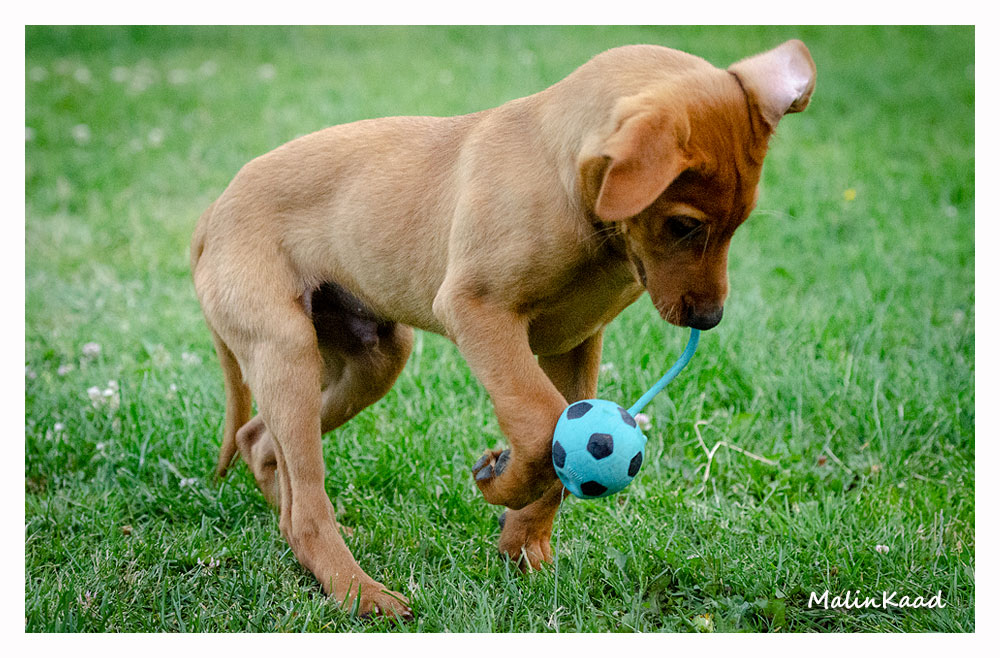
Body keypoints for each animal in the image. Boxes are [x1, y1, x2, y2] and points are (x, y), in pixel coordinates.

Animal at [191, 39, 815, 618]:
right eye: (684, 225)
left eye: (738, 225)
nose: (709, 320)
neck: (572, 194)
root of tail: (212, 212)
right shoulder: (477, 311)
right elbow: (542, 427)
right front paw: (499, 481)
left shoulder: (574, 342)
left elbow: (564, 442)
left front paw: (522, 545)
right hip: (287, 350)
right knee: (304, 500)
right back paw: (358, 592)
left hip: (374, 355)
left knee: (261, 444)